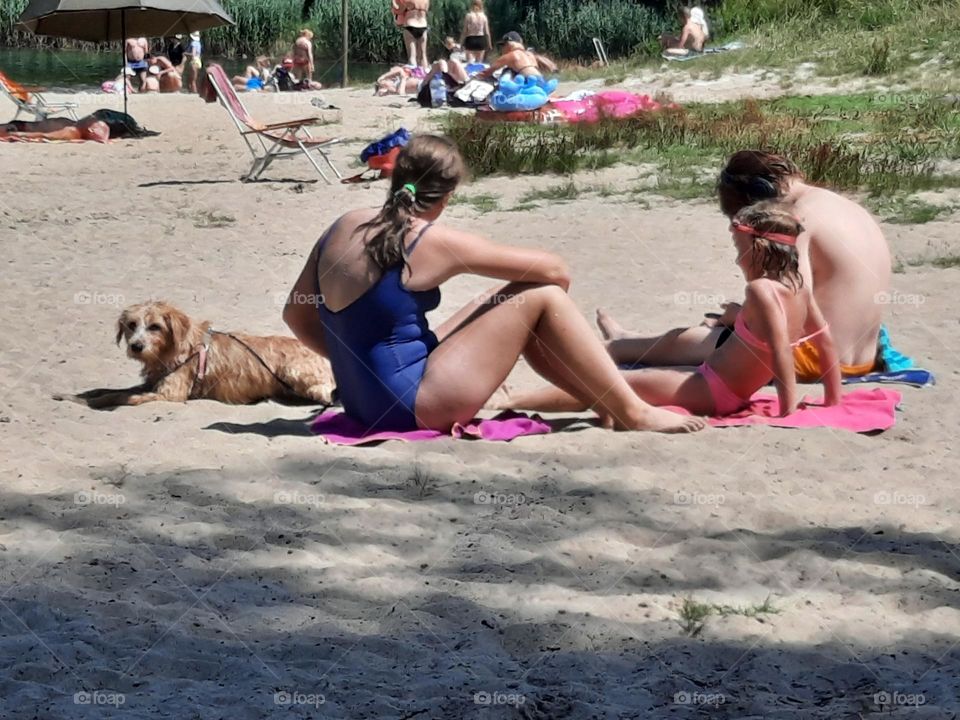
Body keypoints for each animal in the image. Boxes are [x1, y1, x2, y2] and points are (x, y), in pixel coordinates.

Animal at [70, 300, 334, 408]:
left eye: (155, 326)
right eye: (131, 325)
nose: (136, 346)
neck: (177, 348)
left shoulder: (170, 393)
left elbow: (125, 397)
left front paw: (97, 402)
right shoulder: (153, 382)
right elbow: (111, 391)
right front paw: (83, 396)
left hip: (294, 372)